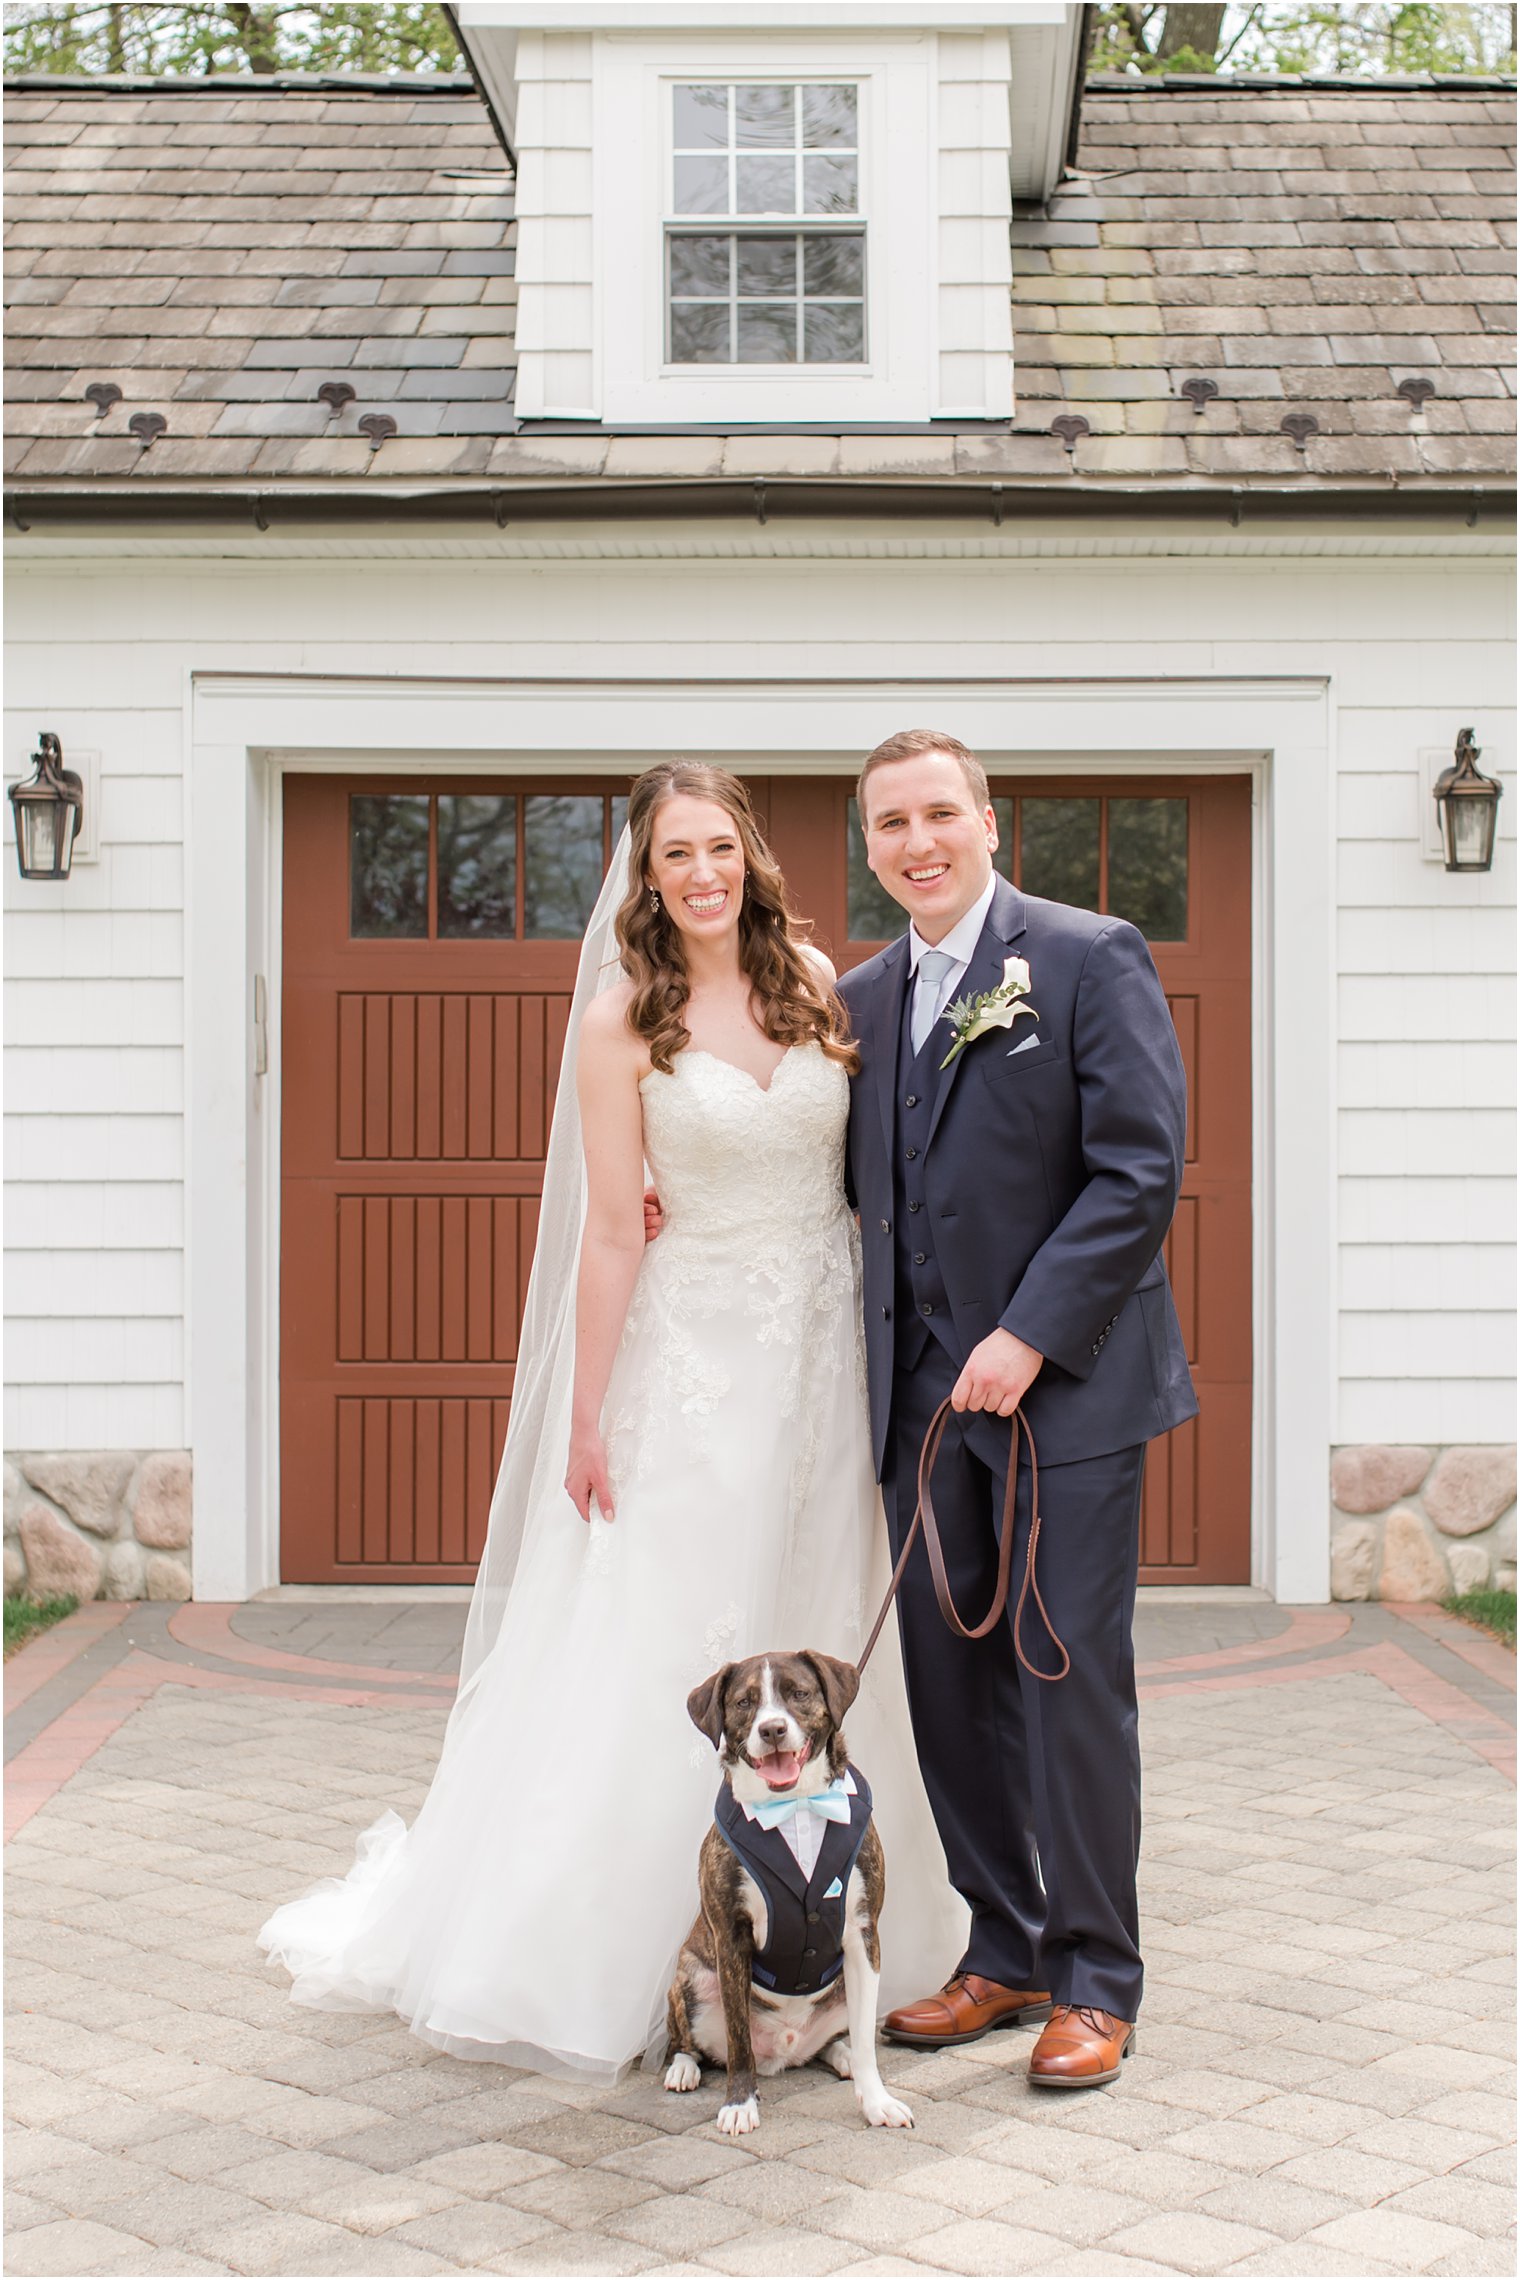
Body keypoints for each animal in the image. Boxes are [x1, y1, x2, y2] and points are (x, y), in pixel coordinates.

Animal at [660, 1650, 911, 2124]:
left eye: (800, 1694)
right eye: (744, 1702)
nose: (772, 1729)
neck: (795, 1804)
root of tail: (783, 2051)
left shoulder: (863, 1934)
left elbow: (867, 2041)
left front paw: (877, 2101)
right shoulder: (731, 1940)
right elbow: (739, 2039)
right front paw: (740, 2103)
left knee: (835, 2042)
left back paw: (843, 2056)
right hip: (692, 1974)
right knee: (687, 2041)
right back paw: (683, 2068)